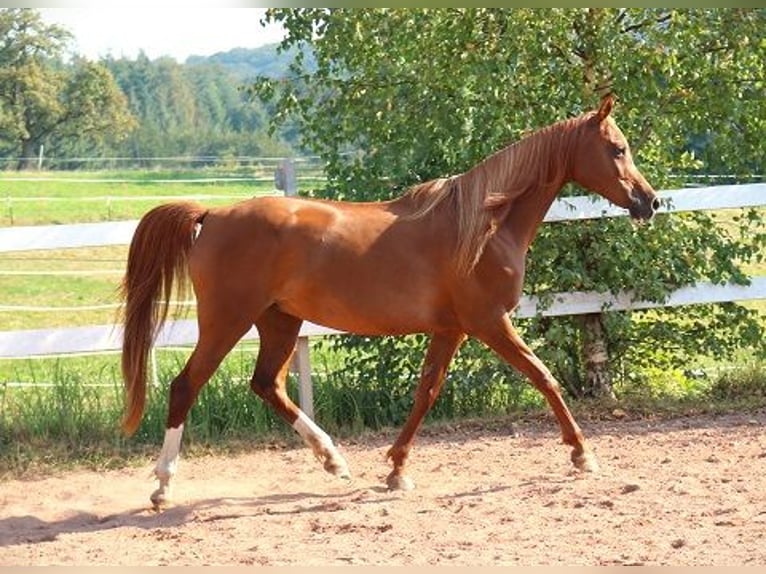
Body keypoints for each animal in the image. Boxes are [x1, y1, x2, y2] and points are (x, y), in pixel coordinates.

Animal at [120, 95, 660, 508]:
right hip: (227, 320)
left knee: (267, 384)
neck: (484, 227)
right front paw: (582, 454)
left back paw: (333, 460)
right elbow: (544, 377)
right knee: (185, 387)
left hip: (279, 322)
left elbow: (427, 392)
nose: (649, 202)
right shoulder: (488, 322)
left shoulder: (450, 329)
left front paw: (396, 470)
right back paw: (163, 487)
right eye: (617, 148)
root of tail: (213, 214)